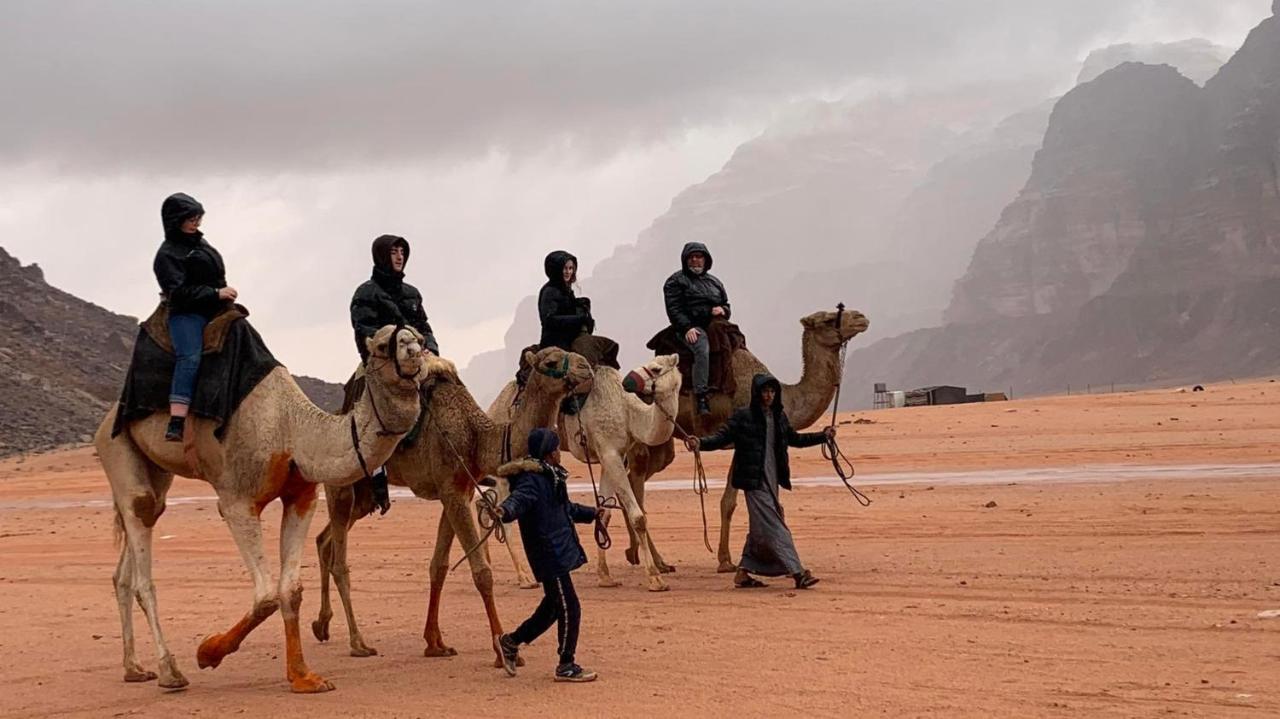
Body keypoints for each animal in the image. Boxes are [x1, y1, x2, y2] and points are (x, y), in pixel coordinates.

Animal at [92, 323, 430, 690]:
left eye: (419, 338)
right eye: (383, 345)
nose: (415, 353)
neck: (293, 431)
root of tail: (104, 421)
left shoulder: (301, 497)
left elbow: (290, 590)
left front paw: (303, 677)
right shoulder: (236, 500)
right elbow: (266, 595)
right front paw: (207, 652)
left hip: (156, 469)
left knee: (137, 540)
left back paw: (134, 668)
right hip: (115, 445)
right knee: (141, 535)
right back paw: (170, 671)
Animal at [309, 345, 593, 665]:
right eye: (551, 361)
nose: (586, 367)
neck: (477, 438)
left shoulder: (457, 491)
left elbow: (439, 566)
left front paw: (435, 643)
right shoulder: (452, 491)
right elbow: (482, 573)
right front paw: (502, 651)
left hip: (365, 495)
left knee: (324, 541)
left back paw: (322, 625)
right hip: (341, 484)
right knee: (339, 560)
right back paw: (358, 642)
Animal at [488, 350, 686, 588]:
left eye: (656, 368)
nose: (629, 381)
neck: (627, 412)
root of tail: (494, 407)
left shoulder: (611, 455)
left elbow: (605, 513)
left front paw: (605, 576)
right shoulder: (610, 453)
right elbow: (638, 517)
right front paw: (655, 578)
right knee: (503, 514)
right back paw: (524, 577)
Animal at [627, 308, 870, 570]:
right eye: (828, 319)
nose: (861, 317)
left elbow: (740, 501)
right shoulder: (741, 436)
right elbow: (729, 503)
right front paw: (726, 561)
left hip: (663, 440)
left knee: (636, 476)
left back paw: (634, 553)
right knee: (636, 482)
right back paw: (657, 561)